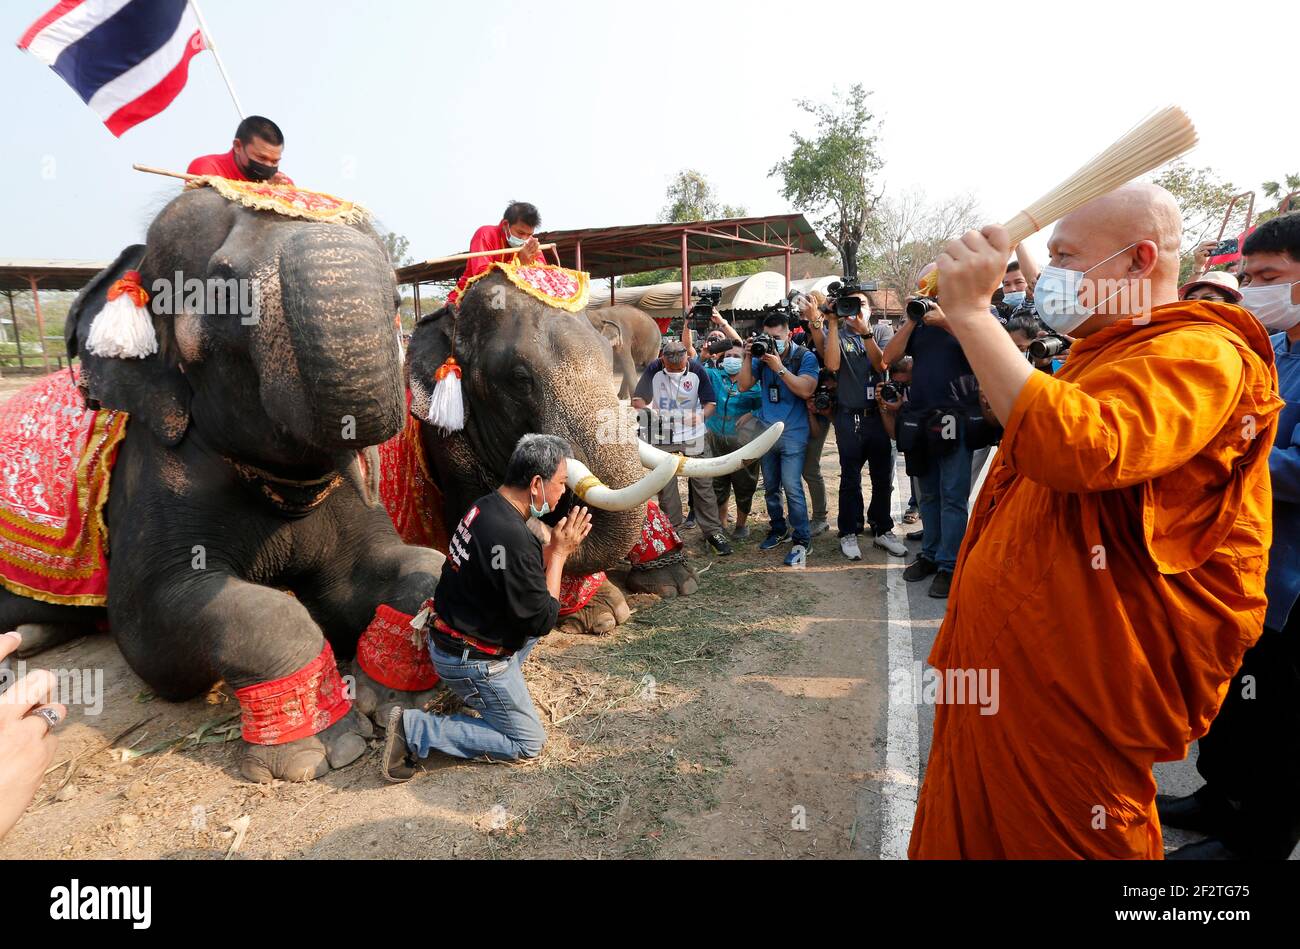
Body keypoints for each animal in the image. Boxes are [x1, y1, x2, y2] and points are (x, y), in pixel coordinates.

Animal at [0, 187, 441, 785]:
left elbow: (402, 571)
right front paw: (322, 751)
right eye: (225, 283)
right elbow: (153, 629)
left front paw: (395, 700)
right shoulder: (155, 472)